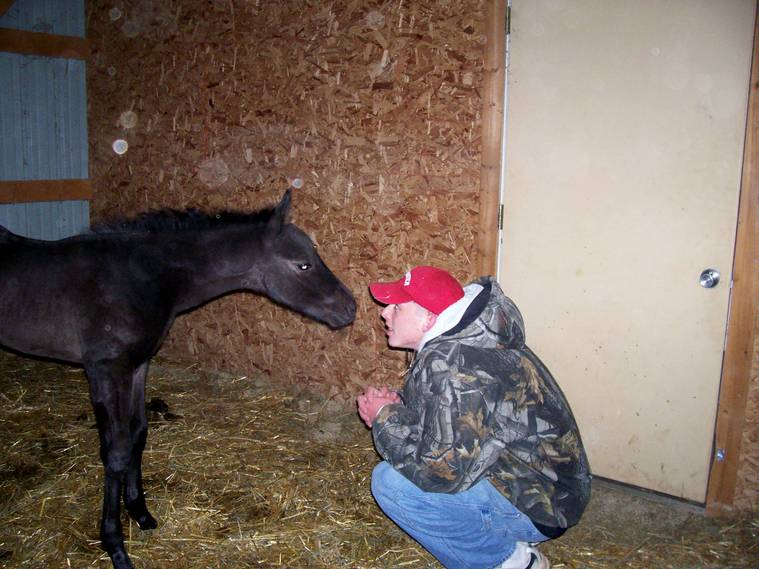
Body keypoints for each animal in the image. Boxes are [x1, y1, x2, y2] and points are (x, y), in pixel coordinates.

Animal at [0, 189, 356, 569]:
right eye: (303, 264)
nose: (350, 308)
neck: (143, 277)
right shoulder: (105, 369)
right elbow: (116, 451)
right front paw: (115, 546)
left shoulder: (139, 365)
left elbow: (138, 433)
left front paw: (141, 513)